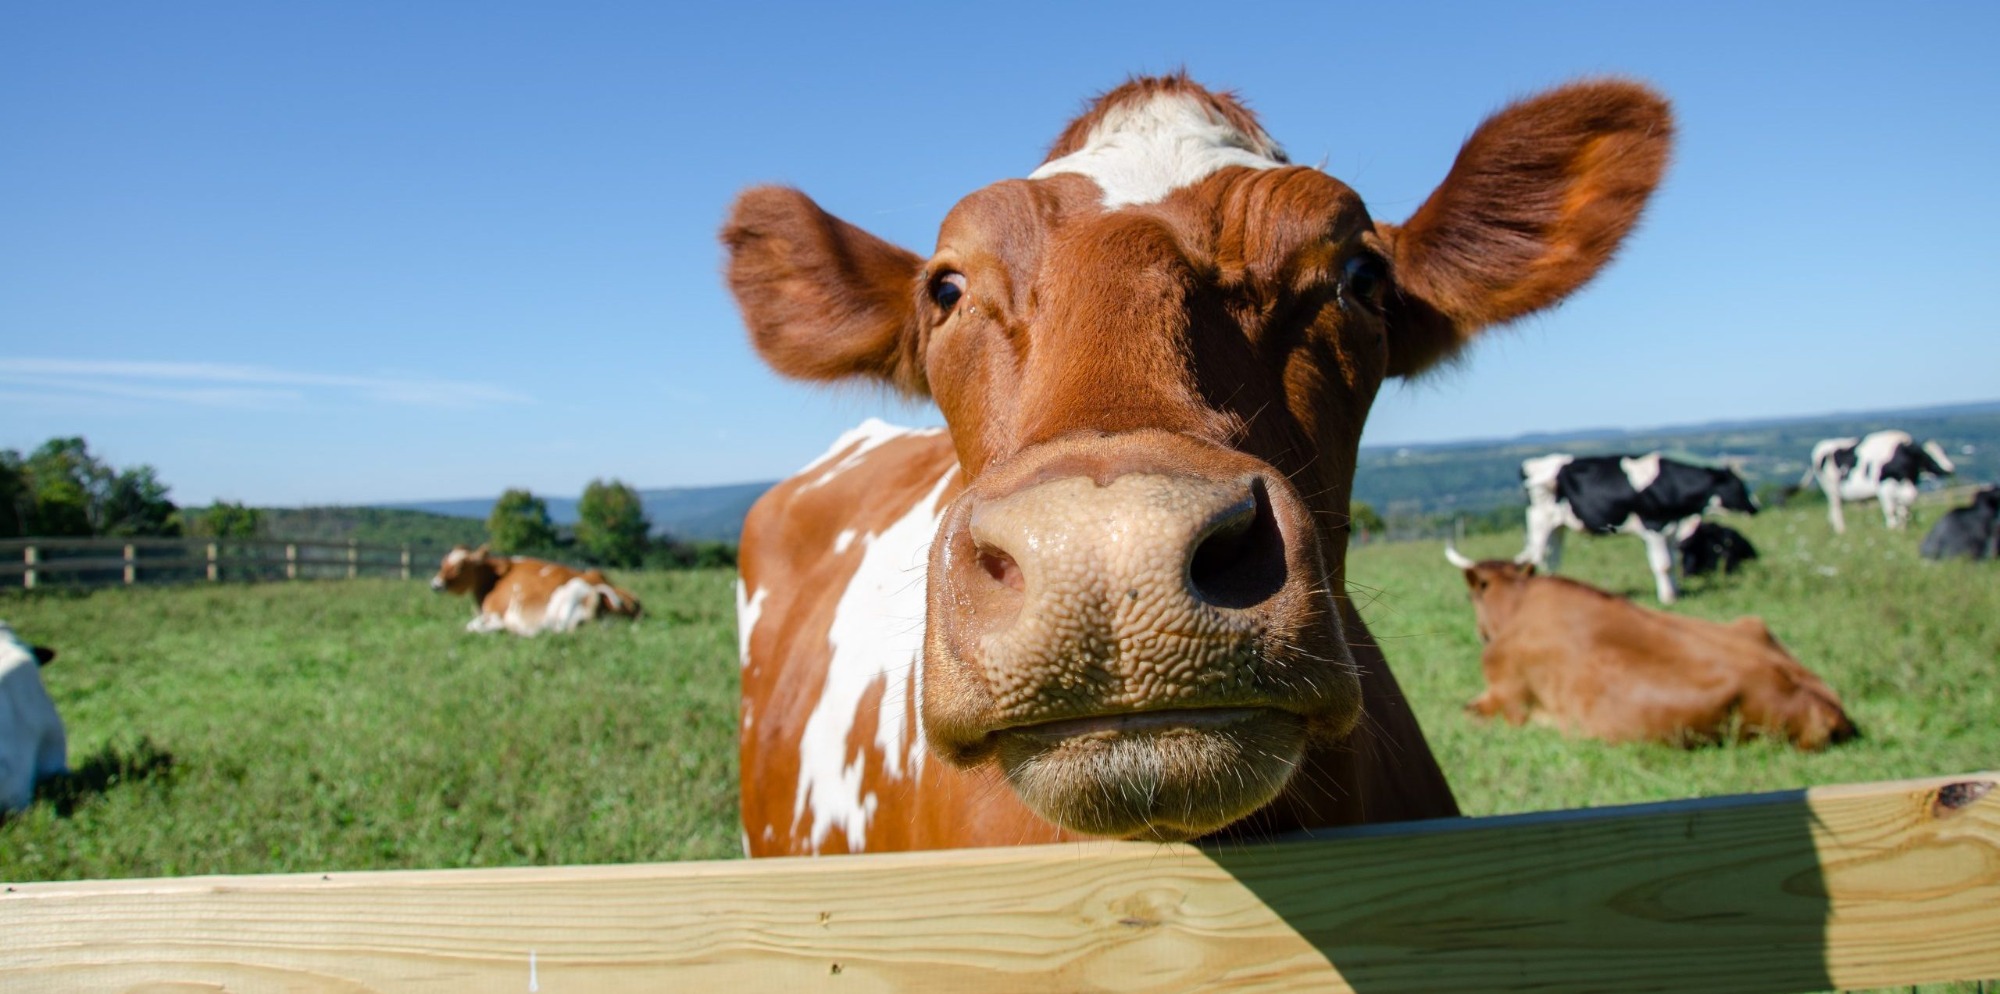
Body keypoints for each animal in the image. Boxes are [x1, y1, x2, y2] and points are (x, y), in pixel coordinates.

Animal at [432, 544, 644, 636]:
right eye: (442, 563)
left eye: (460, 566)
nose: (435, 584)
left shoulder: (497, 614)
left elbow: (471, 626)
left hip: (567, 607)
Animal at [1520, 452, 1760, 604]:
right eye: (1739, 485)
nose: (1755, 506)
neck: (1669, 484)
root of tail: (1531, 466)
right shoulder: (1653, 526)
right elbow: (1664, 565)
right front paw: (1668, 599)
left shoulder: (1670, 529)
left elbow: (1673, 563)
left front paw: (1676, 592)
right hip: (1540, 519)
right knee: (1534, 558)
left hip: (1558, 526)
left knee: (1552, 560)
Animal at [1800, 428, 1952, 532]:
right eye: (1930, 457)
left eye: (1943, 452)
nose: (1950, 468)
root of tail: (1820, 446)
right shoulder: (1884, 489)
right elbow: (1890, 510)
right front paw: (1892, 529)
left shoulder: (1906, 490)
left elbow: (1904, 510)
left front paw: (1902, 529)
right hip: (1831, 489)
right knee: (1836, 510)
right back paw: (1841, 531)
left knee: (1832, 512)